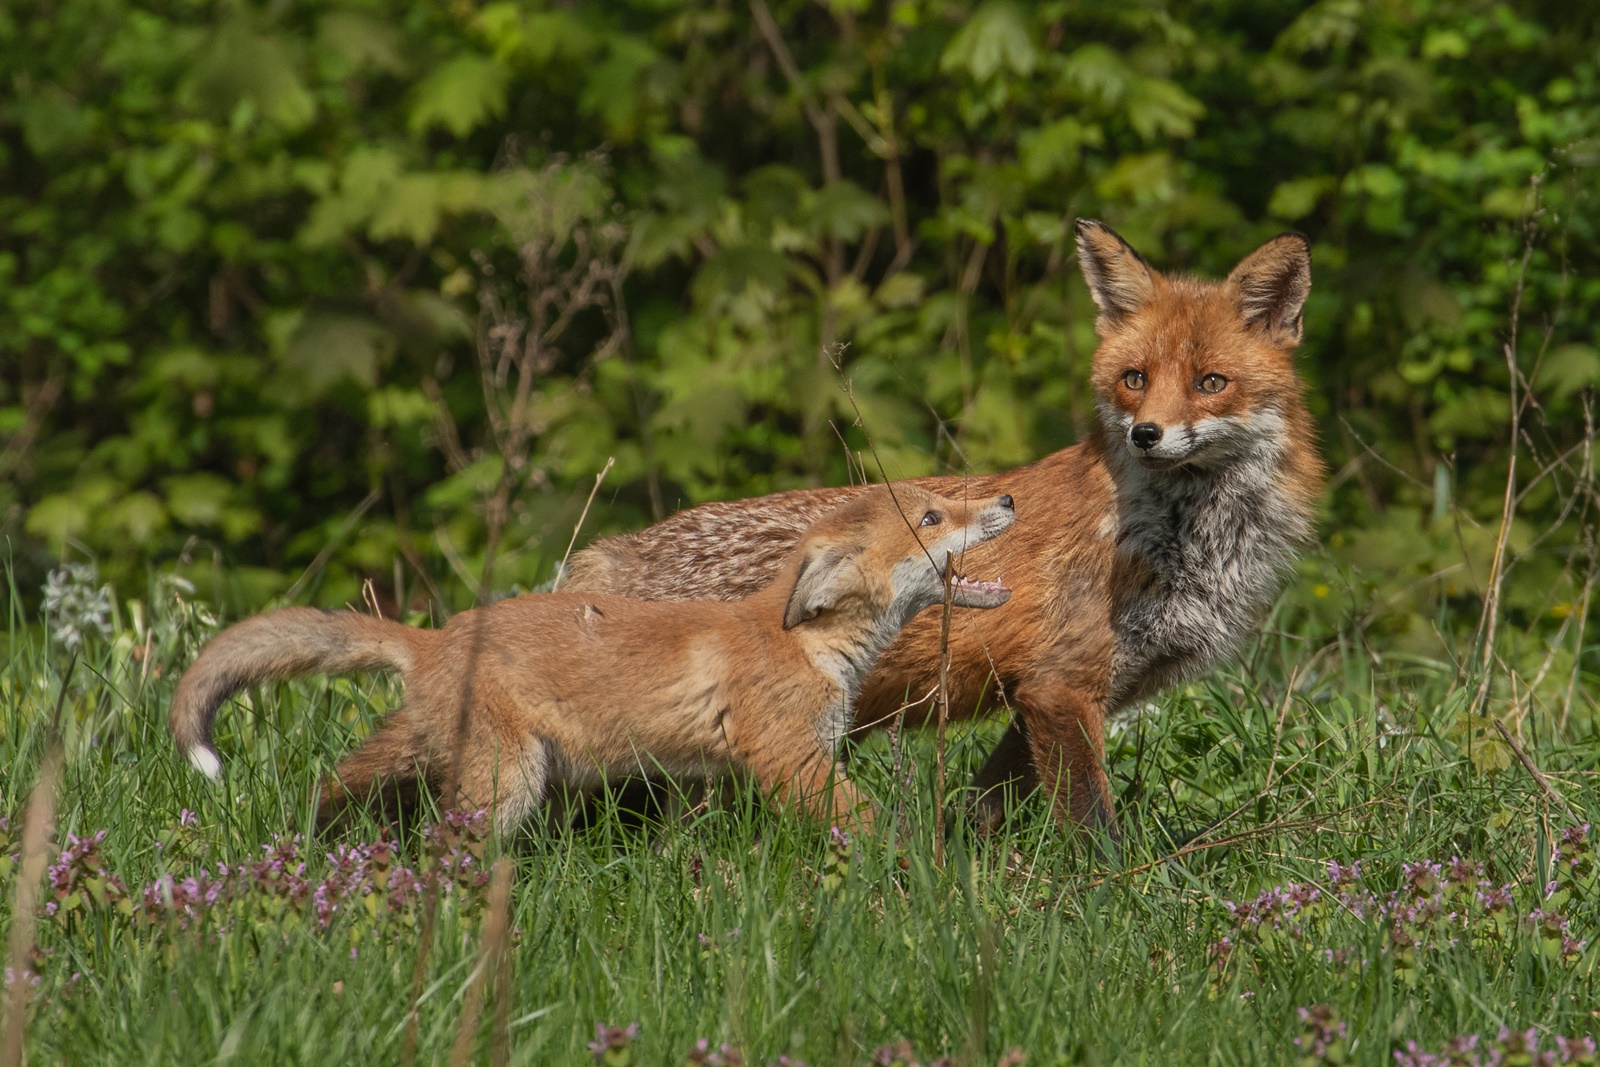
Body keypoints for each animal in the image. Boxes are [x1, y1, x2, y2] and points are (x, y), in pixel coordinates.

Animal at [165, 483, 1011, 831]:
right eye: (932, 516)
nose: (1006, 501)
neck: (804, 639)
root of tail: (437, 632)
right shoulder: (791, 761)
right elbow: (869, 824)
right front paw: (913, 870)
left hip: (446, 754)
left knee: (342, 780)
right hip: (507, 782)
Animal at [563, 219, 1324, 831]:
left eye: (1210, 383)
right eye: (1134, 379)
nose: (1146, 435)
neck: (1179, 539)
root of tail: (613, 553)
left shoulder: (1055, 695)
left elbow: (988, 806)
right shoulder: (1062, 683)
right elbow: (1093, 826)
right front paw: (1108, 895)